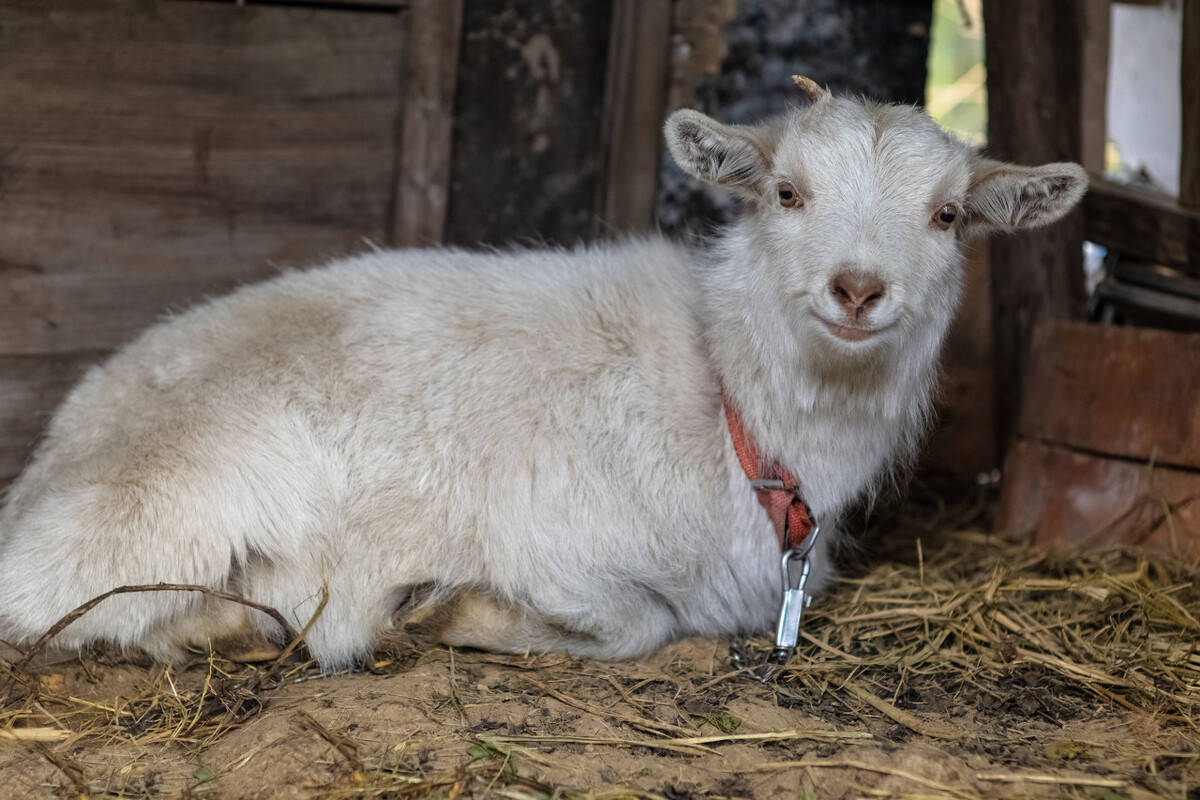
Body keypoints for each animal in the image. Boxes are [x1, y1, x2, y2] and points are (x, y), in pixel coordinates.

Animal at [0, 81, 1089, 671]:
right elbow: (643, 621)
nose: (858, 289)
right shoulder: (553, 541)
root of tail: (55, 451)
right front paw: (448, 612)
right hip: (166, 508)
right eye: (787, 192)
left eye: (948, 216)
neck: (725, 400)